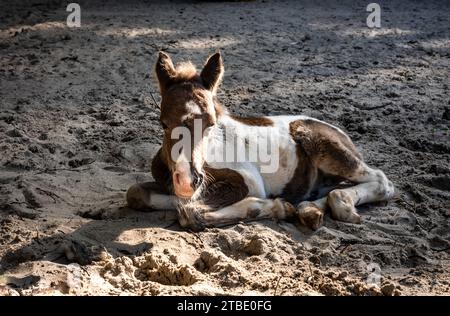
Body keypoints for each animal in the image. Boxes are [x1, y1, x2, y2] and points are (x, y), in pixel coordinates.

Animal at [126, 51, 394, 230]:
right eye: (163, 123)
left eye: (211, 123)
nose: (186, 181)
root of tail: (342, 133)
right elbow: (137, 193)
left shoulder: (249, 181)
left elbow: (190, 211)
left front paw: (276, 207)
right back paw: (310, 210)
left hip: (325, 147)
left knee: (381, 180)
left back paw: (340, 205)